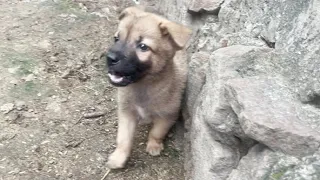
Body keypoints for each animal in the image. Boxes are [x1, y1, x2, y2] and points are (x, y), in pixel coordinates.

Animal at [105, 5, 191, 169]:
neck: (143, 86)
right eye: (116, 38)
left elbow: (156, 132)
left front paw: (154, 145)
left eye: (143, 47)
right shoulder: (126, 112)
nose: (109, 58)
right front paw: (119, 157)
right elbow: (123, 138)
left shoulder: (167, 115)